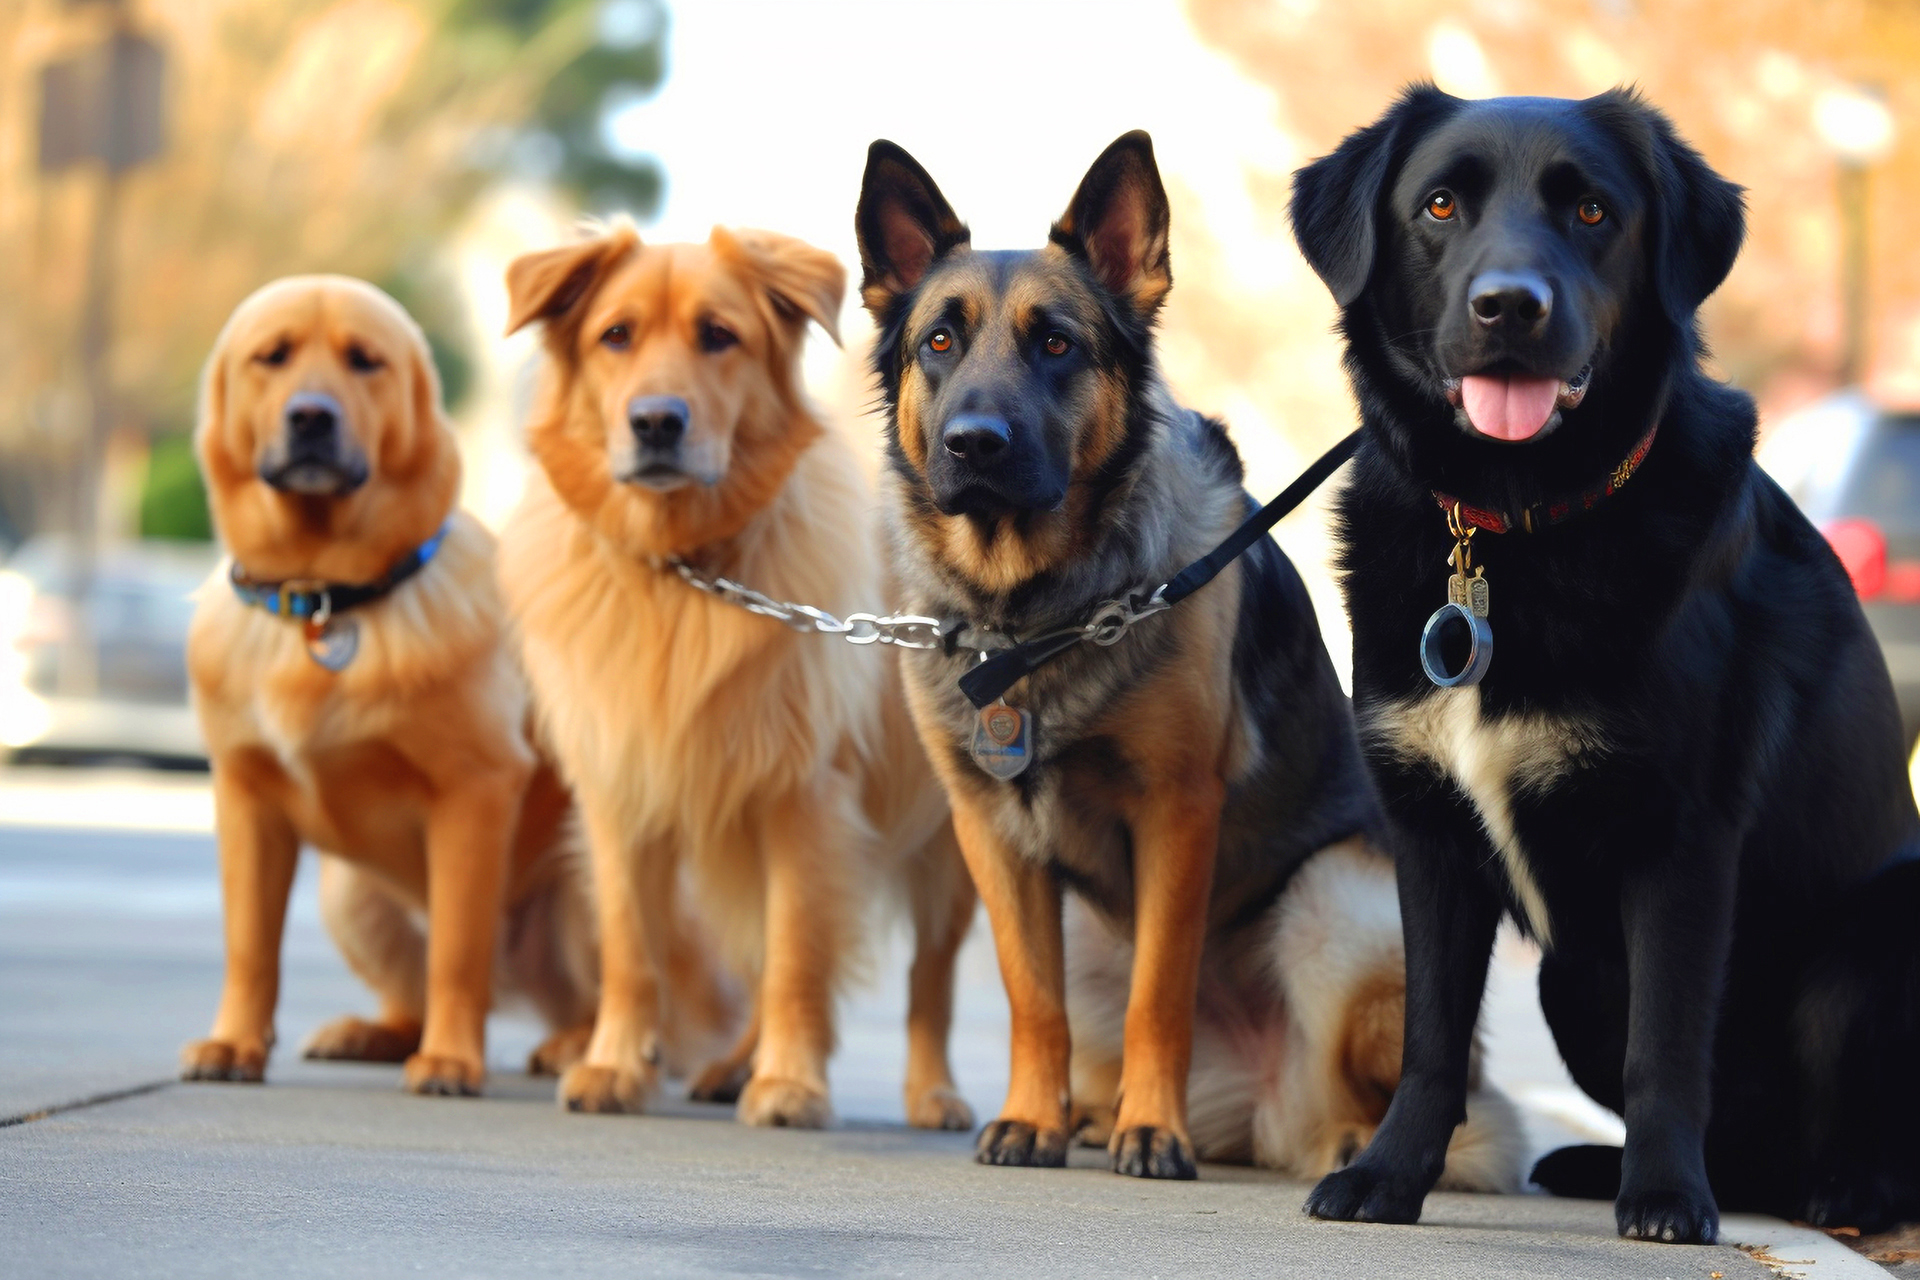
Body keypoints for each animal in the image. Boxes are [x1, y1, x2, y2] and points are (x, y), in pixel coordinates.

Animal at [180, 276, 733, 1097]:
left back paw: (581, 1049)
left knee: (639, 1006)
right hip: (350, 893)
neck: (325, 598)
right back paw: (373, 1033)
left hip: (590, 875)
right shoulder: (247, 799)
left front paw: (449, 1059)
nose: (311, 415)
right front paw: (235, 1043)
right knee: (409, 995)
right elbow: (251, 945)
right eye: (272, 357)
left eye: (365, 360)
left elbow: (457, 950)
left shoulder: (476, 791)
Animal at [499, 225, 975, 1128]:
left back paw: (935, 1093)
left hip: (950, 853)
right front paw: (616, 1065)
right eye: (616, 335)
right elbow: (631, 949)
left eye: (719, 335)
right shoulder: (621, 790)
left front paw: (791, 1084)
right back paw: (730, 1066)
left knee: (929, 982)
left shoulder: (805, 799)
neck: (679, 571)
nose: (656, 422)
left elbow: (797, 958)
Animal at [864, 135, 1520, 1189]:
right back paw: (1090, 1115)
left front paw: (1151, 1133)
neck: (1040, 617)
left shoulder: (1176, 814)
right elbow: (1030, 998)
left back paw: (1338, 1144)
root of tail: (1256, 1105)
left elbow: (1159, 993)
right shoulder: (991, 837)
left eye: (1058, 344)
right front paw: (1033, 1120)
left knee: (1411, 1099)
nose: (973, 445)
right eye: (939, 342)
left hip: (1336, 910)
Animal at [1290, 84, 1920, 1243]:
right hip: (1570, 981)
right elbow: (1432, 1038)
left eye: (1592, 212)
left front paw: (1666, 1196)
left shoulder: (1680, 838)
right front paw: (1388, 1176)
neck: (1512, 525)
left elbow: (1664, 1046)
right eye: (1440, 203)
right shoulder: (1429, 838)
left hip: (1871, 946)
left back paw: (1842, 1187)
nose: (1509, 307)